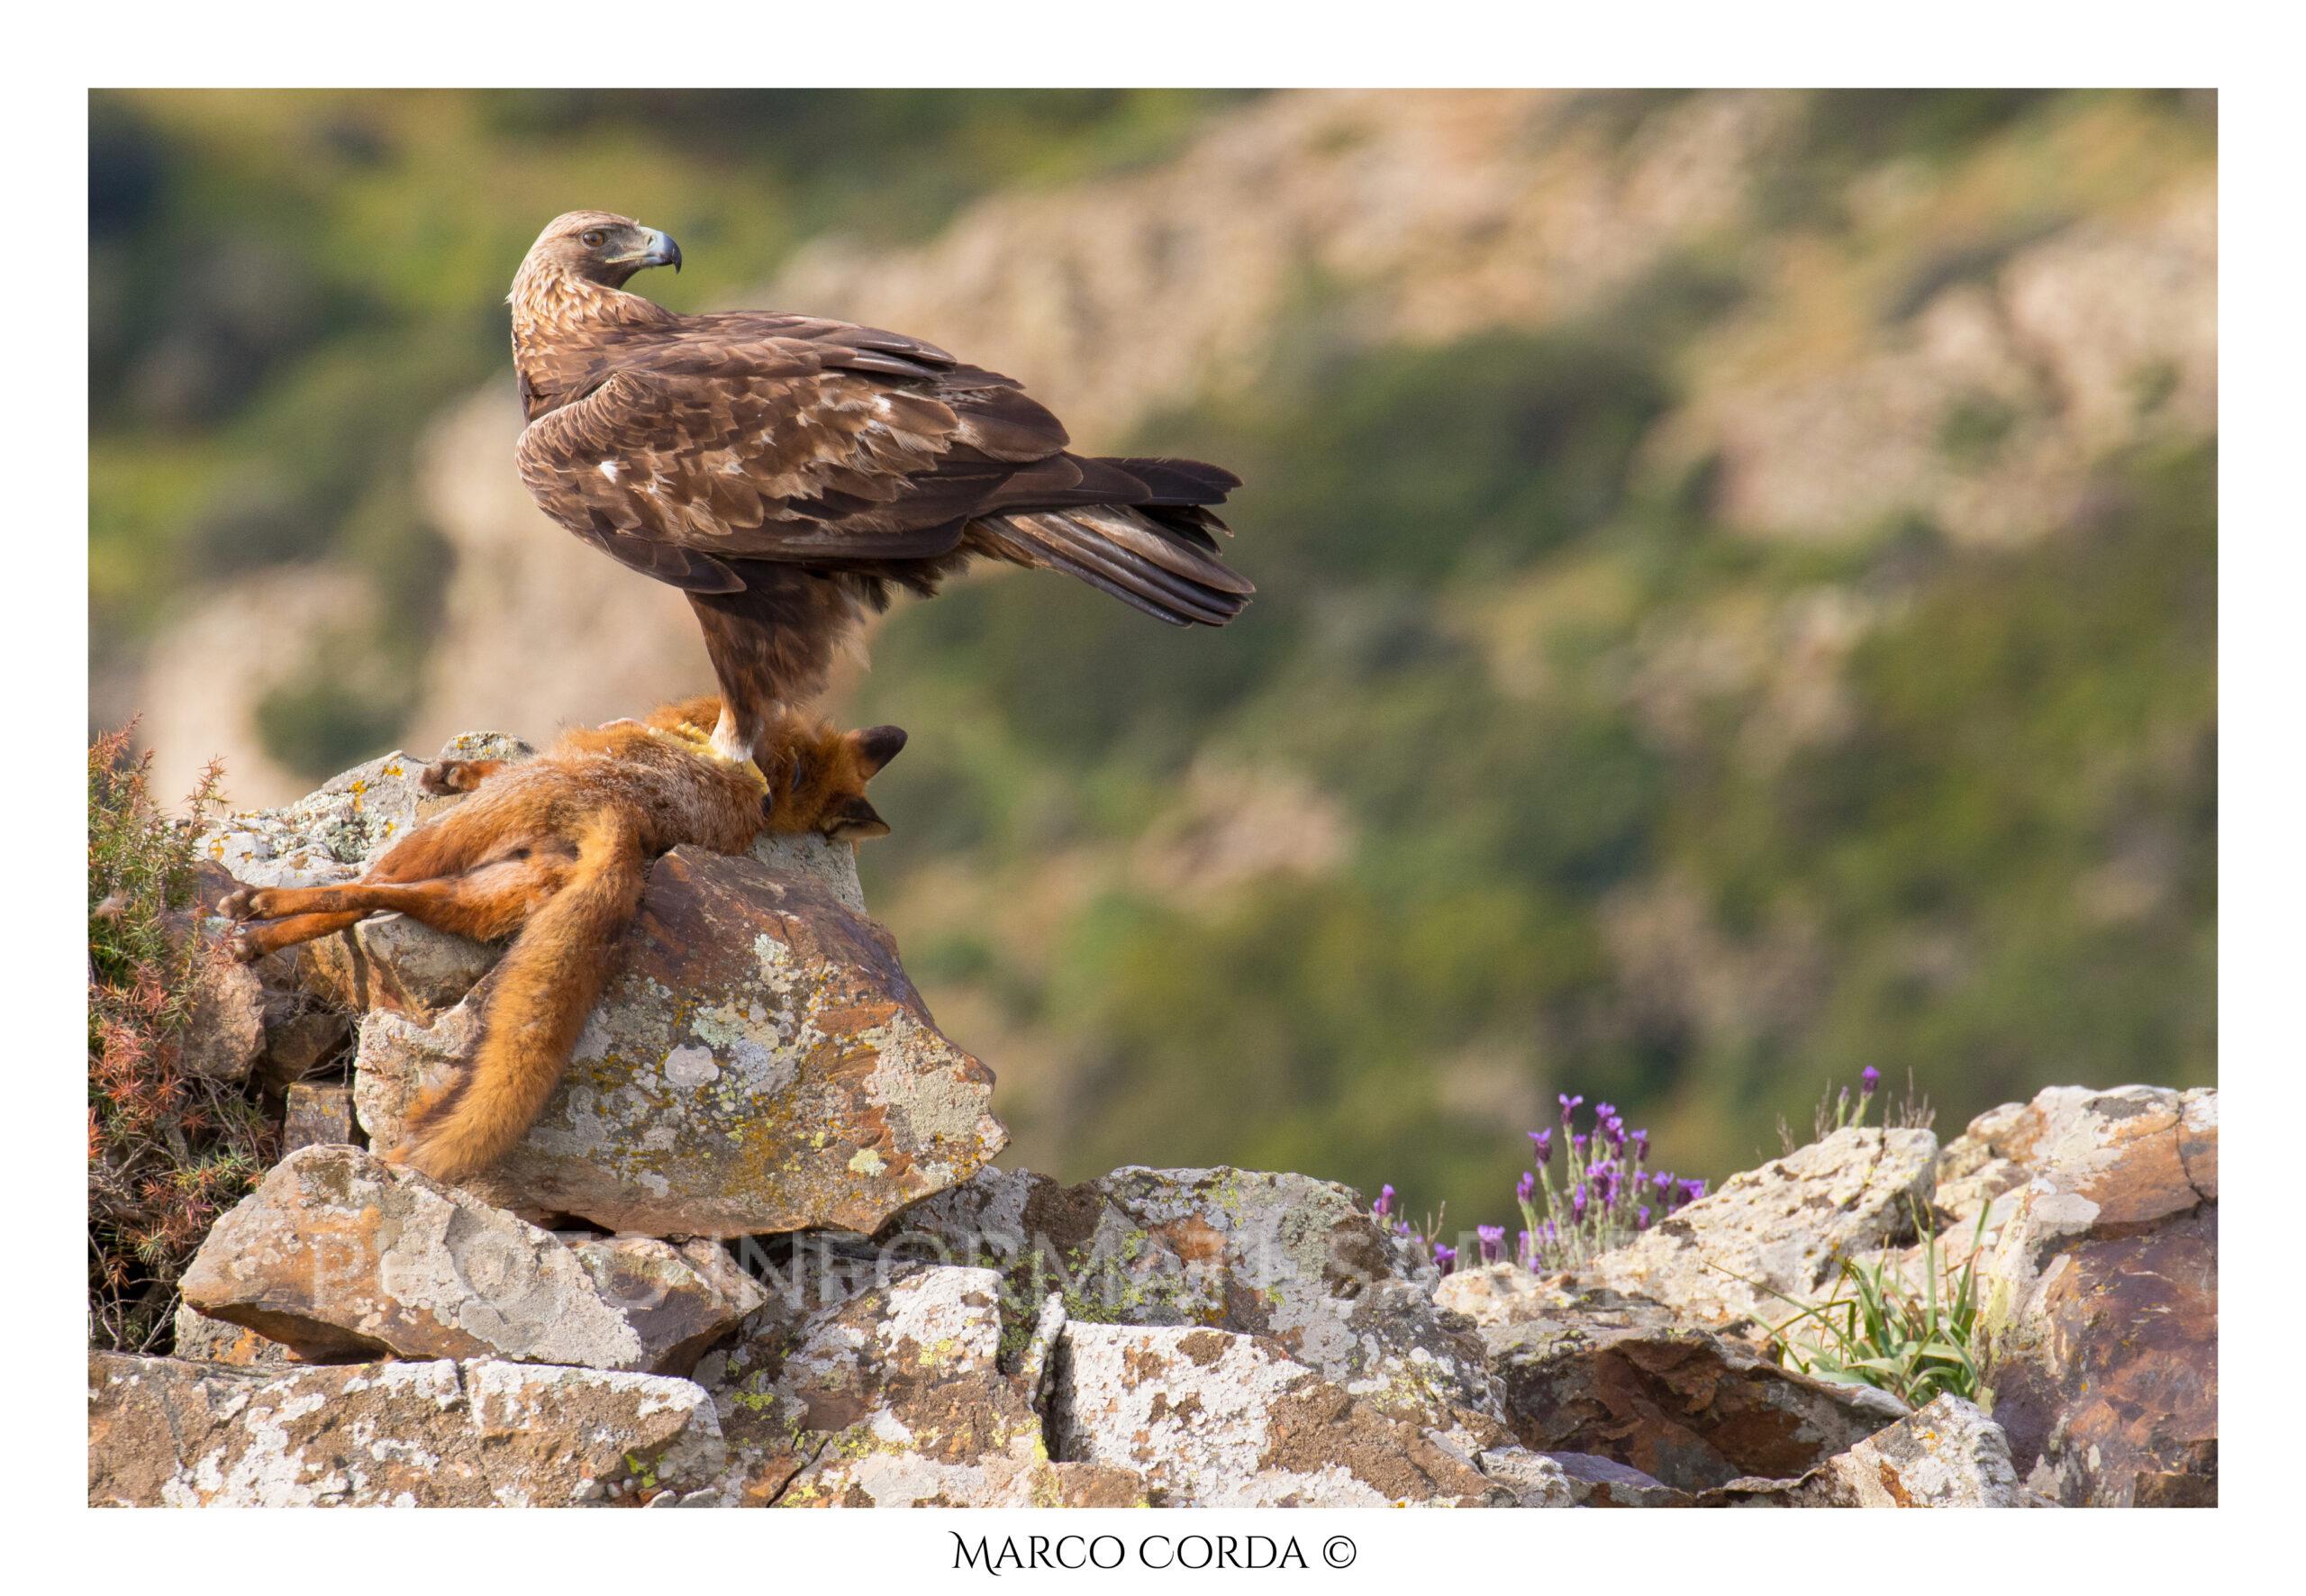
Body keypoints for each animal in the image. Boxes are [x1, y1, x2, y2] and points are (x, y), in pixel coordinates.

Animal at [219, 695, 906, 1182]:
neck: (779, 768)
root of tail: (627, 821)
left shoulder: (570, 749)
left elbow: (506, 762)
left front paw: (454, 771)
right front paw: (452, 769)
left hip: (464, 837)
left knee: (363, 888)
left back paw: (256, 918)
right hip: (480, 894)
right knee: (385, 898)